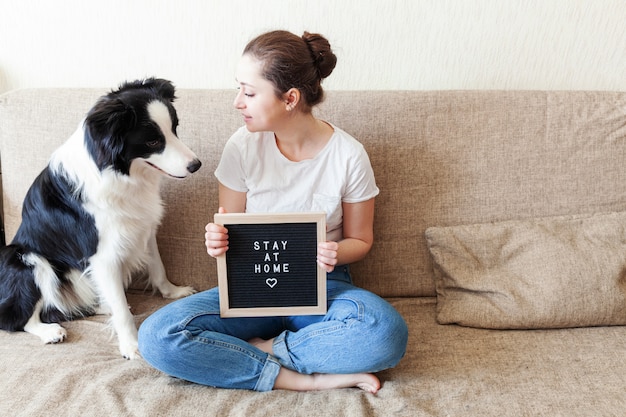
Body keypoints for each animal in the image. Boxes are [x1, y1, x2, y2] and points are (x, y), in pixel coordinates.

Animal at [0, 78, 200, 358]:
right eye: (152, 142)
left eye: (174, 129)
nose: (196, 165)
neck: (119, 174)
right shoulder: (103, 256)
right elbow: (123, 310)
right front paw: (131, 345)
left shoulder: (143, 227)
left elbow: (158, 268)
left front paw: (173, 291)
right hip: (25, 258)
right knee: (17, 318)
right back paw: (50, 332)